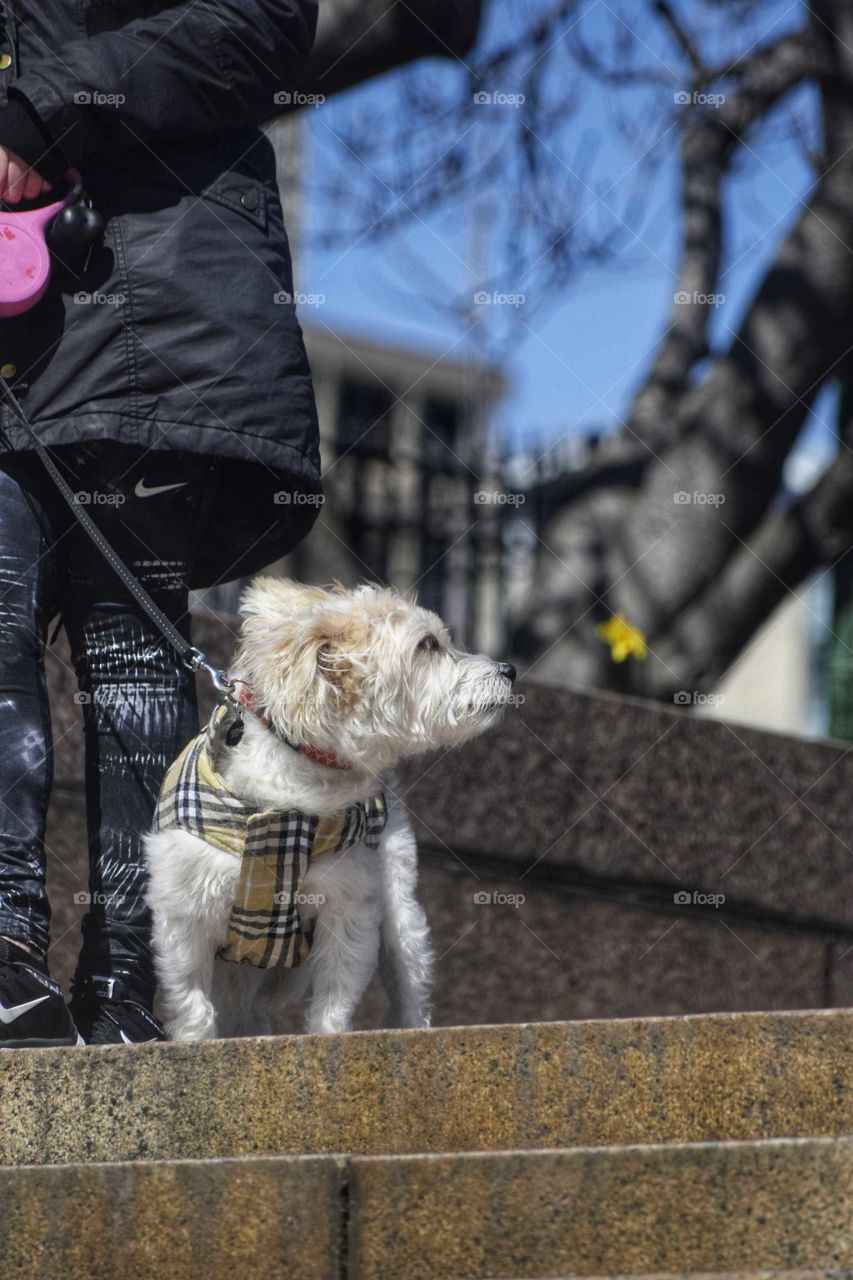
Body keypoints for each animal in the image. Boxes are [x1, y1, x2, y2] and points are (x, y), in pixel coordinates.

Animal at [143, 581, 514, 1039]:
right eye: (428, 645)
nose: (510, 670)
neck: (292, 790)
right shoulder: (186, 913)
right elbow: (192, 999)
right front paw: (193, 1042)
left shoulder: (349, 909)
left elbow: (335, 997)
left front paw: (329, 1038)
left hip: (400, 912)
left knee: (408, 981)